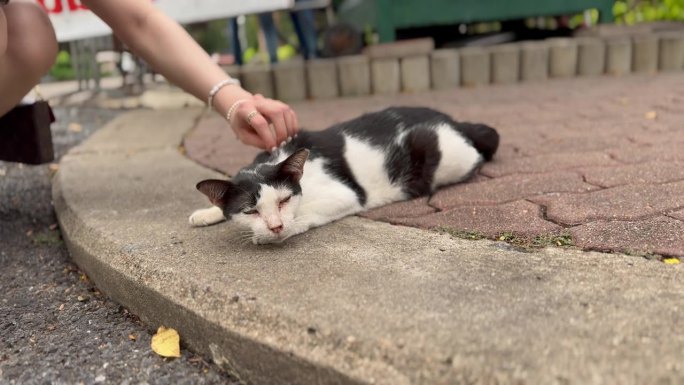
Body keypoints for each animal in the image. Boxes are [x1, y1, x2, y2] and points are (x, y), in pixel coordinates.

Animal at [190, 106, 500, 243]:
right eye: (251, 211)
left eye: (283, 200)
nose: (275, 226)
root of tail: (453, 121)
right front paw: (207, 212)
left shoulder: (346, 195)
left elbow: (306, 213)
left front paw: (275, 232)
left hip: (444, 156)